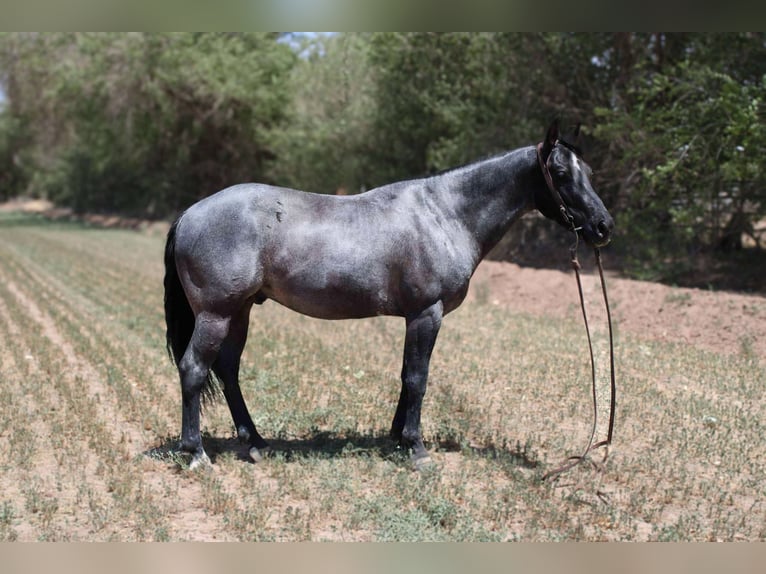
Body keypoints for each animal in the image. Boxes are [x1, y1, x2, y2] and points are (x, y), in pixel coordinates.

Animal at [163, 120, 614, 469]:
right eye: (560, 173)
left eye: (590, 171)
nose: (603, 226)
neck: (444, 214)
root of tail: (189, 214)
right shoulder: (427, 313)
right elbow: (418, 378)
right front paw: (416, 449)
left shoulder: (414, 317)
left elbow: (405, 375)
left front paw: (396, 439)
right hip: (216, 314)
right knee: (194, 369)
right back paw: (196, 453)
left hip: (239, 311)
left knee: (228, 369)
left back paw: (255, 443)